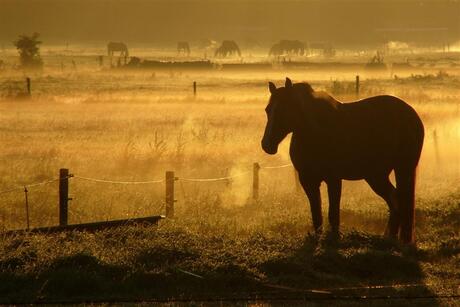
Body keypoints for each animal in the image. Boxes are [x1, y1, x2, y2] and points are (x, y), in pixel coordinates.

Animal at [262, 78, 424, 244]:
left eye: (283, 110)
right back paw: (390, 237)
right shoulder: (307, 180)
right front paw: (317, 238)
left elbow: (333, 212)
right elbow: (316, 213)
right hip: (376, 176)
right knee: (395, 200)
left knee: (400, 201)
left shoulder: (333, 179)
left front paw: (334, 238)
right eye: (268, 110)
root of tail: (411, 114)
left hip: (402, 169)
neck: (315, 132)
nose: (267, 145)